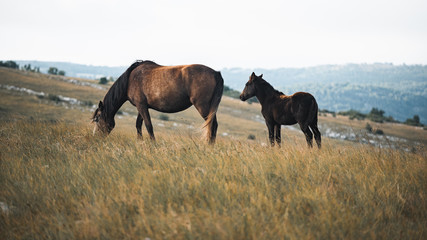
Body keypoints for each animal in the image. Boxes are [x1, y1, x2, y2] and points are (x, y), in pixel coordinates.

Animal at [92, 61, 226, 143]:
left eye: (97, 118)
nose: (95, 138)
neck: (130, 79)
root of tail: (216, 73)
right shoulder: (142, 106)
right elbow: (138, 125)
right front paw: (140, 142)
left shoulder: (141, 106)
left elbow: (148, 126)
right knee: (214, 126)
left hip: (203, 106)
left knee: (212, 125)